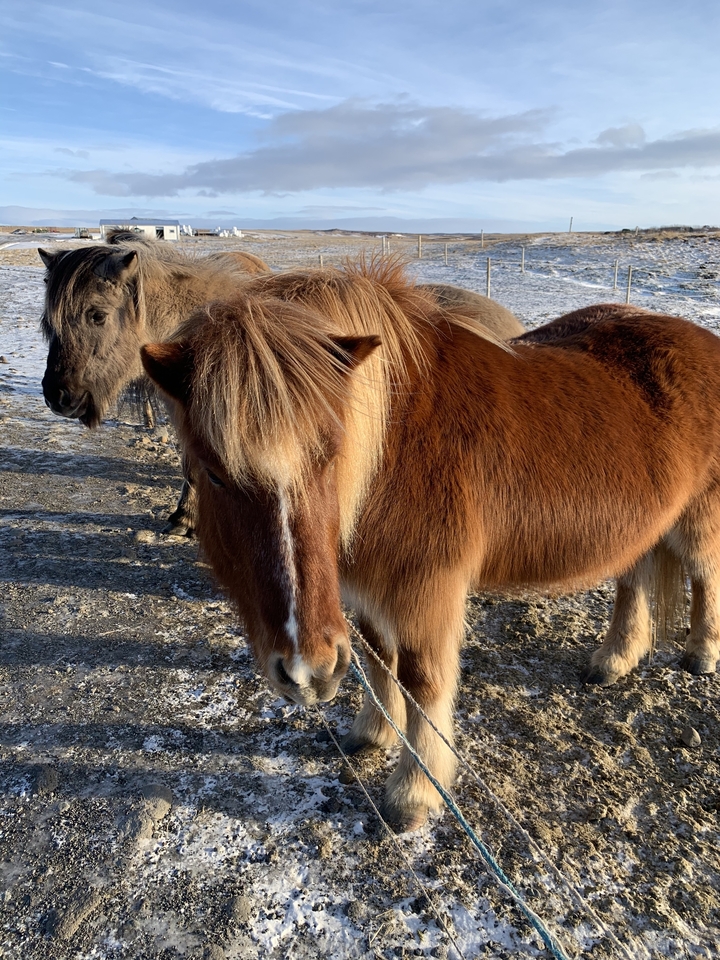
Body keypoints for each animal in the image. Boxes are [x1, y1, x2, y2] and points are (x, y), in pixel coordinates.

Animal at [140, 259, 720, 831]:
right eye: (215, 474)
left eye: (331, 452)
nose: (308, 673)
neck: (391, 449)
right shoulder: (369, 590)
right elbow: (379, 661)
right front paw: (373, 732)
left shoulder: (427, 591)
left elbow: (423, 682)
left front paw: (414, 792)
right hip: (645, 527)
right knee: (633, 580)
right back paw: (615, 659)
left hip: (697, 519)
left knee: (704, 573)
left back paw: (701, 653)